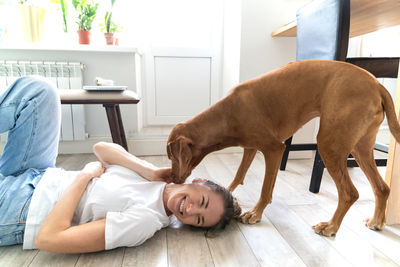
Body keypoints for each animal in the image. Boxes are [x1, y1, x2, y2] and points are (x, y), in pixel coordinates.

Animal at [166, 60, 400, 237]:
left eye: (172, 157)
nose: (173, 179)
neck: (226, 113)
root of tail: (377, 84)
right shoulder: (250, 147)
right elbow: (238, 174)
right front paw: (228, 191)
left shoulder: (274, 149)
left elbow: (265, 189)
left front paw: (255, 213)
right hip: (360, 149)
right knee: (382, 188)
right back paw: (377, 221)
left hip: (329, 145)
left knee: (350, 193)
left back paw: (330, 226)